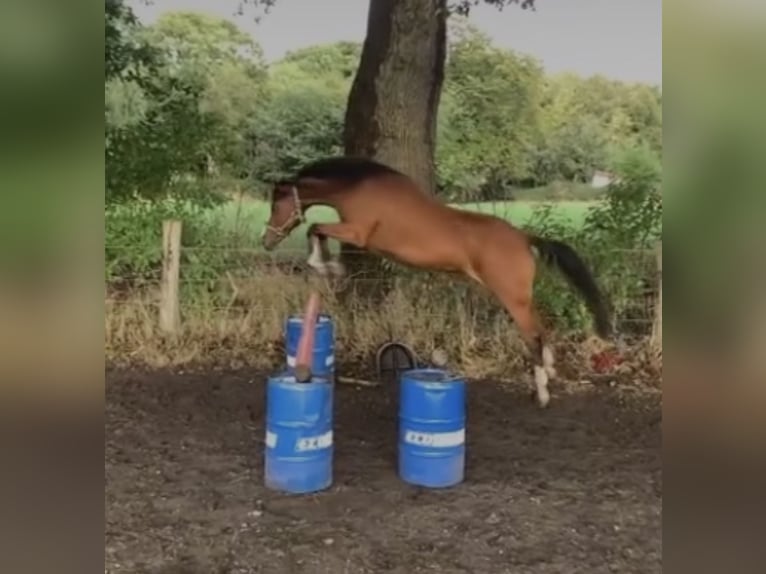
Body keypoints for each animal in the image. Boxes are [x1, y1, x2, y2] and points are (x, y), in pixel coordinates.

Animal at [261, 156, 612, 407]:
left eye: (277, 204)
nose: (267, 241)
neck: (360, 188)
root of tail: (524, 238)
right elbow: (317, 230)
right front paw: (328, 266)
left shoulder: (358, 233)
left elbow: (315, 228)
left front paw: (327, 266)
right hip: (521, 297)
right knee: (542, 330)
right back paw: (549, 373)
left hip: (513, 298)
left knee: (534, 335)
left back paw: (542, 393)